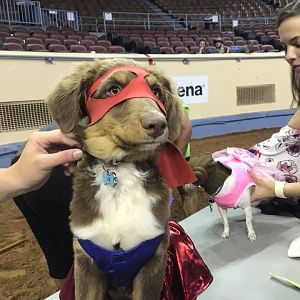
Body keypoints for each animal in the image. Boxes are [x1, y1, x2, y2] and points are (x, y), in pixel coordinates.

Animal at [47, 59, 183, 300]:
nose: (158, 124)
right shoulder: (86, 260)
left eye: (156, 91)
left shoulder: (153, 260)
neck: (120, 168)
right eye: (114, 90)